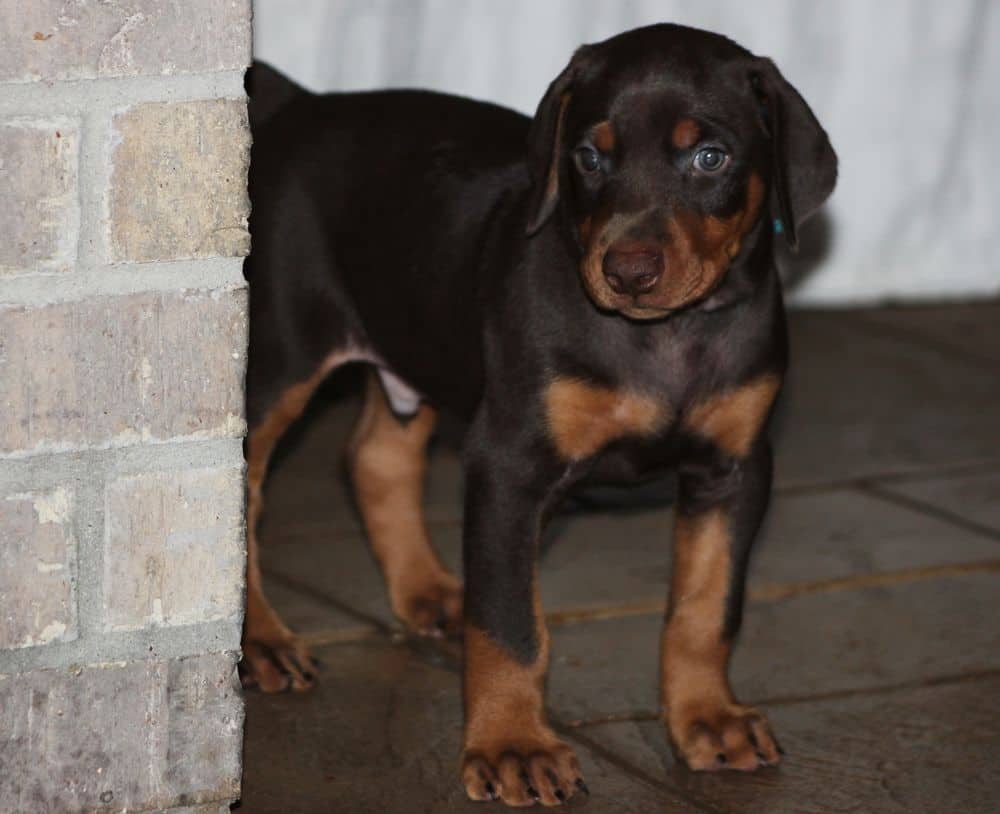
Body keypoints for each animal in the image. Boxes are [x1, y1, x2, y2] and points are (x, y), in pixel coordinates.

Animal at [244, 23, 836, 808]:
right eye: (589, 155)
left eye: (710, 156)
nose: (628, 271)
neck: (666, 336)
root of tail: (303, 106)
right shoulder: (510, 464)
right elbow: (510, 626)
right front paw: (512, 747)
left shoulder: (736, 468)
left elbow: (707, 605)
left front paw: (707, 717)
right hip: (280, 354)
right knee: (236, 496)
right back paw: (258, 639)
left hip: (419, 339)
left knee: (375, 457)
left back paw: (430, 592)